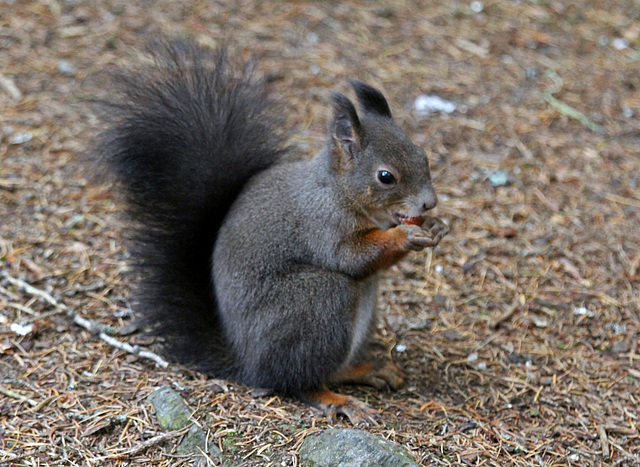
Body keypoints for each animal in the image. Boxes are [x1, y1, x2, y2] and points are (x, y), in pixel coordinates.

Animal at [92, 40, 448, 426]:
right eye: (386, 177)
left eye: (423, 155)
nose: (429, 202)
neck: (337, 190)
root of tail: (248, 361)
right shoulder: (321, 224)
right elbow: (350, 257)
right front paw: (405, 237)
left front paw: (436, 227)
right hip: (316, 302)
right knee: (299, 380)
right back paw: (337, 400)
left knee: (328, 367)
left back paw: (367, 370)